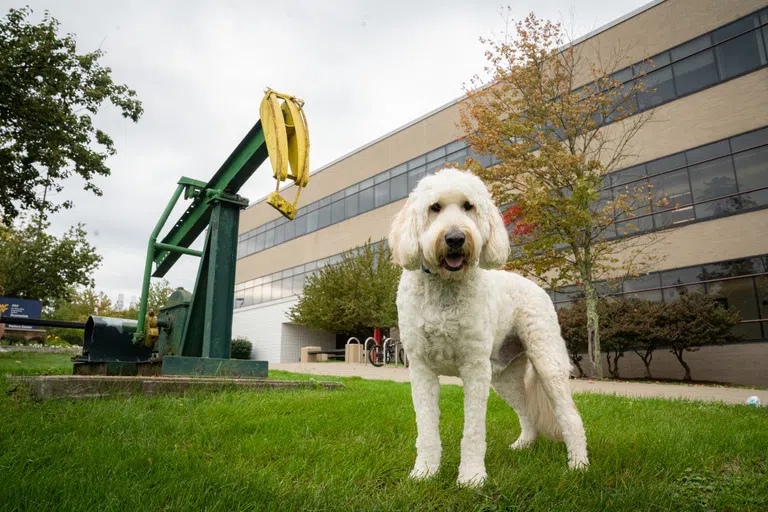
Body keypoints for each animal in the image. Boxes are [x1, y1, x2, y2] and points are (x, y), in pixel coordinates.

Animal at [390, 169, 588, 488]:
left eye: (468, 206)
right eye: (435, 207)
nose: (455, 238)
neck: (445, 288)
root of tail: (536, 286)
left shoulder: (475, 369)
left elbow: (473, 431)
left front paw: (471, 478)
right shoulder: (421, 369)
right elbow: (427, 430)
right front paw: (424, 473)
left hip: (547, 360)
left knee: (570, 416)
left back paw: (579, 464)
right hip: (504, 378)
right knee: (527, 413)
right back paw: (524, 444)